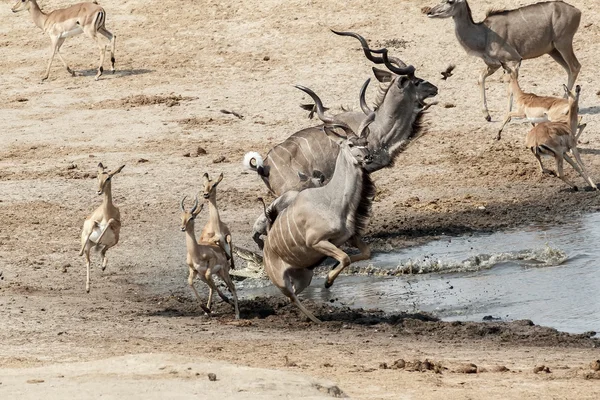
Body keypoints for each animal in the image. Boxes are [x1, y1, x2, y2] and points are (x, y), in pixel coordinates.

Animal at [79, 163, 124, 294]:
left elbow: (110, 221)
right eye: (97, 176)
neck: (107, 211)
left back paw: (103, 265)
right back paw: (87, 287)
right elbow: (93, 225)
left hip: (112, 242)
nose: (99, 191)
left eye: (108, 178)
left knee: (102, 252)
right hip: (89, 246)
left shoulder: (117, 224)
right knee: (88, 261)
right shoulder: (91, 222)